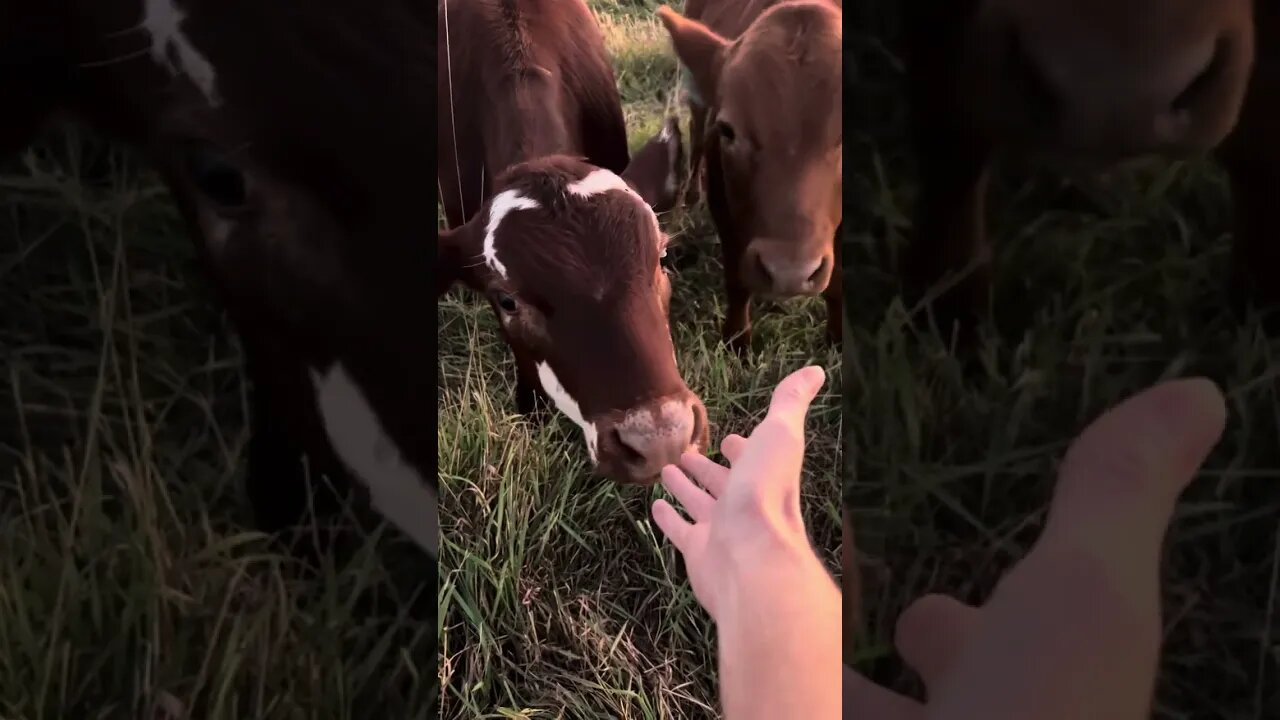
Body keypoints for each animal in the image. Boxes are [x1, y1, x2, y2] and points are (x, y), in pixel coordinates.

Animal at [655, 0, 844, 353]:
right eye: (728, 131)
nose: (789, 272)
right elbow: (736, 278)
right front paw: (737, 340)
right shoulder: (725, 202)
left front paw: (838, 339)